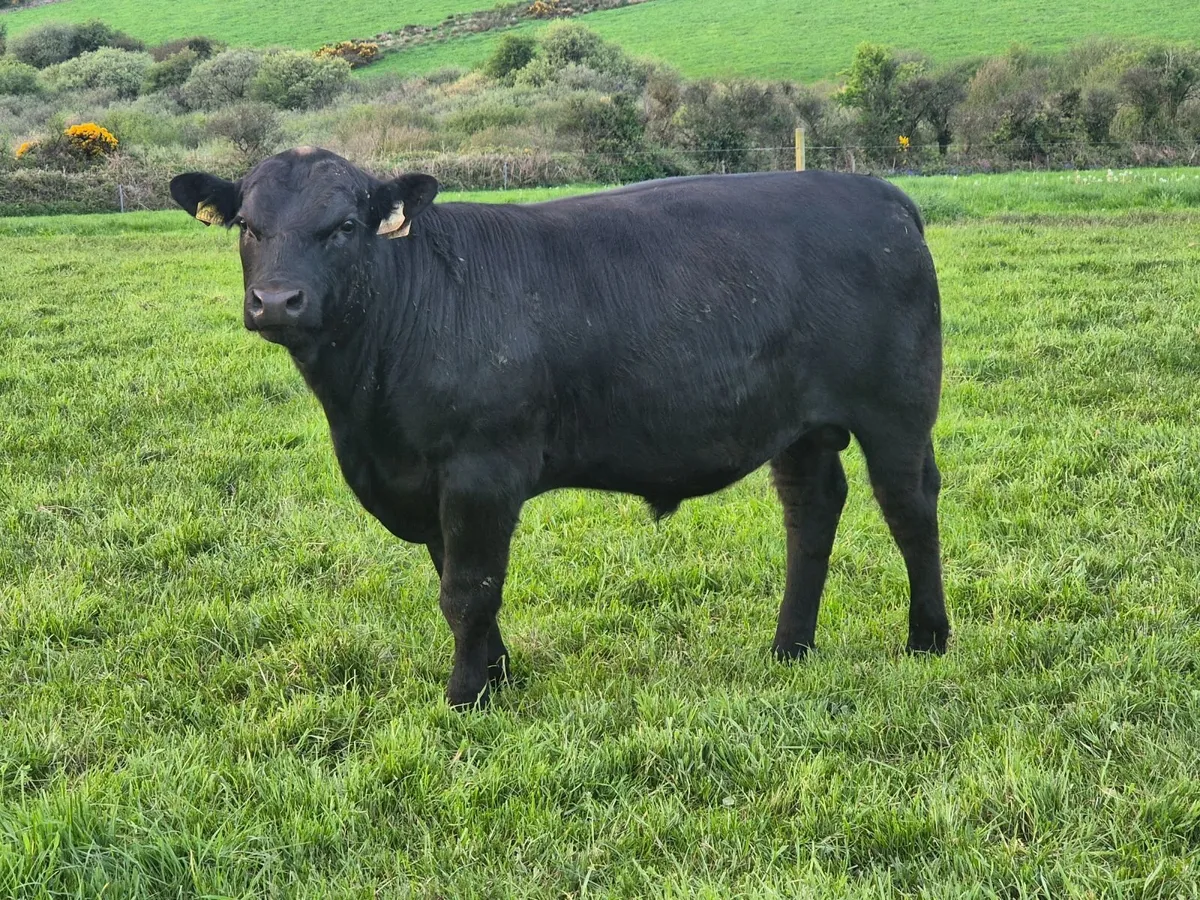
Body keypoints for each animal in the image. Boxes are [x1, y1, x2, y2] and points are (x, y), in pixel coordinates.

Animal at [170, 148, 949, 708]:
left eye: (345, 227)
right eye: (248, 227)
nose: (277, 300)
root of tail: (879, 194)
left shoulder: (481, 470)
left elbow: (468, 588)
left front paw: (464, 698)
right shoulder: (431, 483)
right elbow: (458, 581)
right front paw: (496, 675)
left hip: (898, 409)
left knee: (910, 508)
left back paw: (927, 640)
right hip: (799, 427)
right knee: (810, 514)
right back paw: (791, 647)